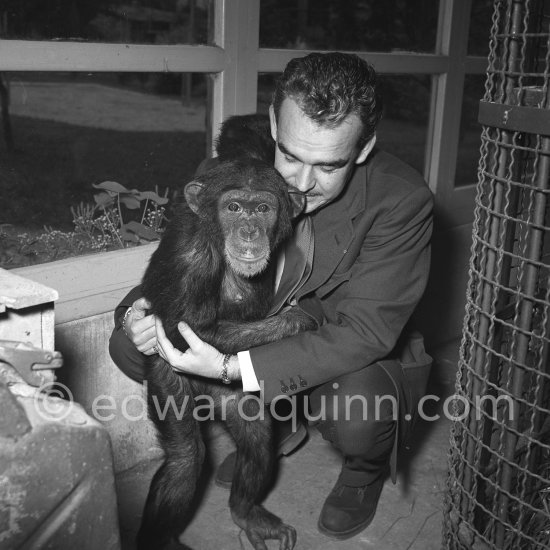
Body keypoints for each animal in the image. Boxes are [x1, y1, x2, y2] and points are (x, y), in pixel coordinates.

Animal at [137, 116, 316, 550]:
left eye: (263, 208)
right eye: (234, 207)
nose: (249, 230)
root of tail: (207, 397)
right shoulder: (191, 255)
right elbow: (184, 330)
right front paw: (299, 319)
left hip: (230, 391)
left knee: (256, 434)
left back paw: (247, 513)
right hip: (169, 381)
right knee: (186, 459)